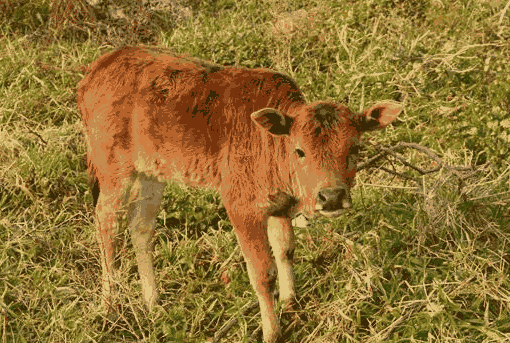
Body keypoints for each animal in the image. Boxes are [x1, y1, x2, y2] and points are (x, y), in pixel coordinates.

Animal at [77, 46, 400, 343]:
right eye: (299, 151)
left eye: (355, 147)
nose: (331, 196)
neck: (272, 147)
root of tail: (96, 70)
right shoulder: (240, 205)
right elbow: (262, 273)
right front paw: (272, 332)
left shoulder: (279, 205)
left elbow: (286, 249)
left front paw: (291, 304)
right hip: (112, 168)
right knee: (107, 223)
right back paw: (110, 305)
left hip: (150, 173)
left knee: (141, 227)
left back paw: (153, 303)